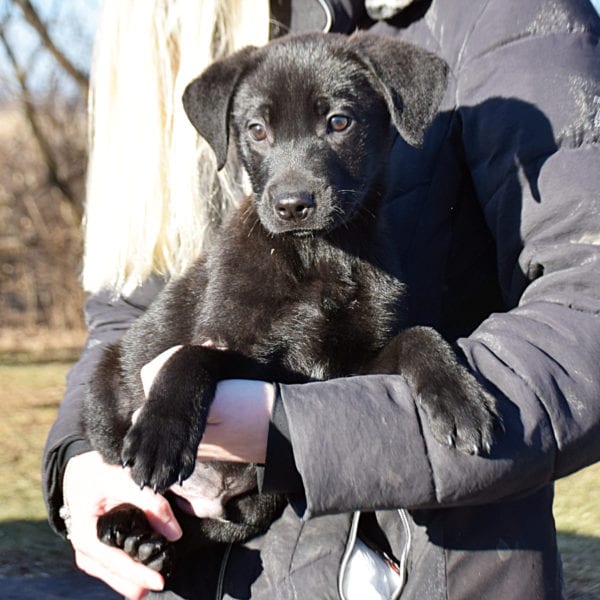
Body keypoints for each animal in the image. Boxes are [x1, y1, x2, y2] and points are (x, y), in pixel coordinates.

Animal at [83, 31, 496, 572]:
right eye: (256, 130)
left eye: (339, 121)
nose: (292, 205)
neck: (318, 254)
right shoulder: (237, 344)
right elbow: (193, 354)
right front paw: (160, 433)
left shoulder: (345, 373)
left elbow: (418, 335)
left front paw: (459, 397)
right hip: (104, 382)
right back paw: (124, 524)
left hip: (261, 499)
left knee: (212, 527)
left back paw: (149, 543)